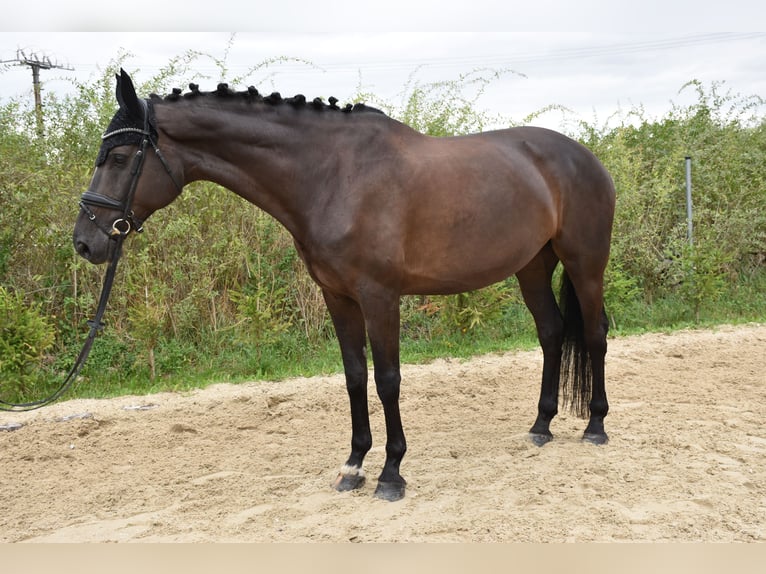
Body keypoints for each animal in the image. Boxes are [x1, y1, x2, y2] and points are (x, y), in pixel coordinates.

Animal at [73, 69, 615, 502]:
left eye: (119, 157)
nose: (85, 242)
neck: (333, 175)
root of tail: (585, 157)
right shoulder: (337, 296)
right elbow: (355, 376)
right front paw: (354, 466)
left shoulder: (380, 297)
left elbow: (388, 379)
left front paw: (392, 473)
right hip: (532, 267)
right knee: (551, 332)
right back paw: (541, 426)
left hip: (585, 264)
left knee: (593, 335)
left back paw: (594, 426)